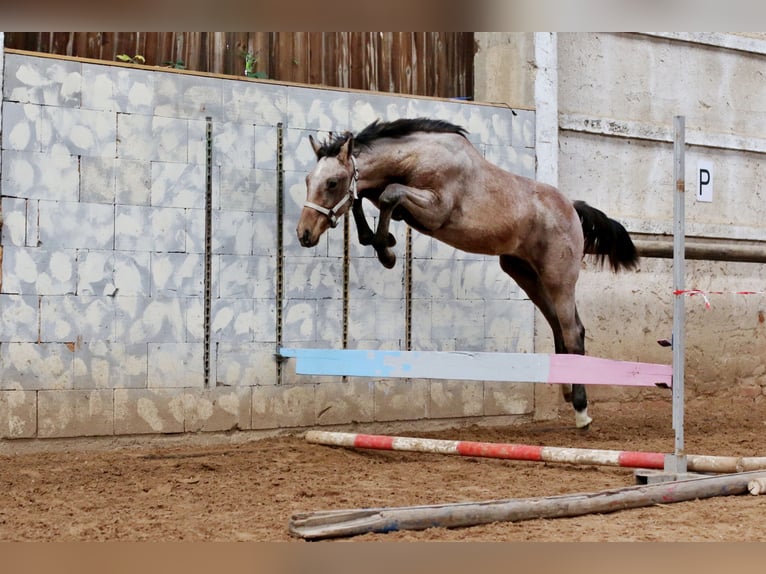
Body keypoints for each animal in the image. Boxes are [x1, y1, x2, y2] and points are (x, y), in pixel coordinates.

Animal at [296, 117, 639, 429]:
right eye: (308, 179)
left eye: (332, 183)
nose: (304, 234)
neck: (417, 157)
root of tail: (571, 207)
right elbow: (366, 198)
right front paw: (381, 240)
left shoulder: (434, 210)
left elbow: (388, 195)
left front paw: (386, 251)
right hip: (527, 276)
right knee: (558, 327)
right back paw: (568, 392)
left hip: (559, 278)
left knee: (573, 331)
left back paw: (581, 411)